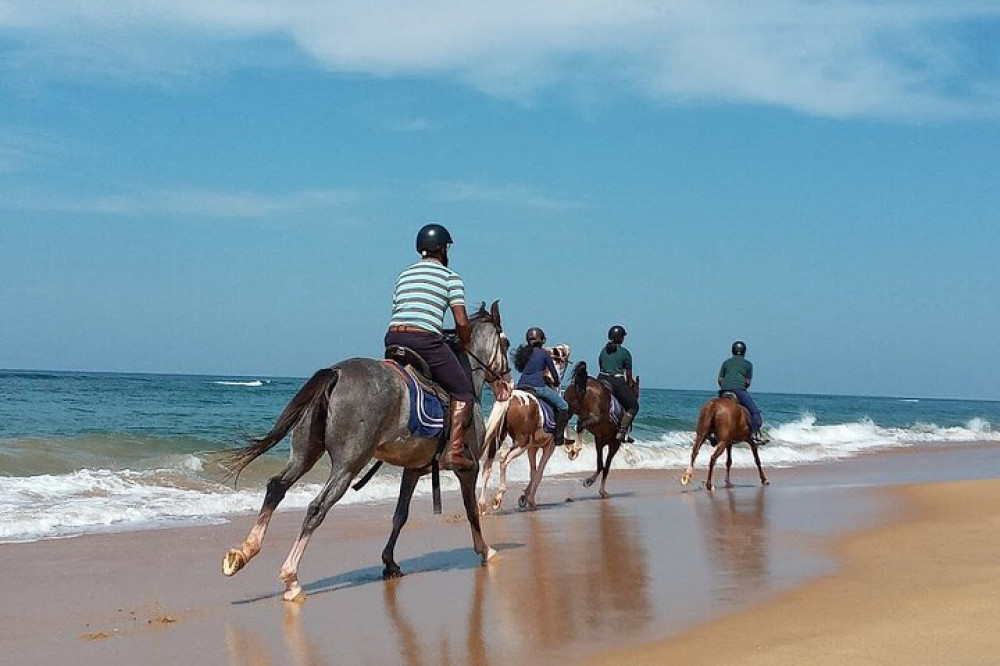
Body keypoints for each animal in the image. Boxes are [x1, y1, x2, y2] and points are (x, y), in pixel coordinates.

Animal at [222, 298, 512, 600]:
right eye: (507, 344)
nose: (506, 384)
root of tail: (336, 373)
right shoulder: (469, 468)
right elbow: (471, 510)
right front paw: (485, 549)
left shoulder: (412, 469)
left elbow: (400, 515)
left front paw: (389, 562)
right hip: (349, 464)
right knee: (316, 507)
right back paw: (291, 578)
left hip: (304, 454)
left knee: (276, 487)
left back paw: (244, 551)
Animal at [564, 360, 640, 496]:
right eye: (637, 390)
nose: (637, 398)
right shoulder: (615, 444)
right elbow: (606, 467)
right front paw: (600, 489)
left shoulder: (599, 441)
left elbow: (600, 464)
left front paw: (589, 481)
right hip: (594, 417)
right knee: (580, 425)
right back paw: (575, 448)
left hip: (570, 408)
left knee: (568, 421)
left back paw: (569, 446)